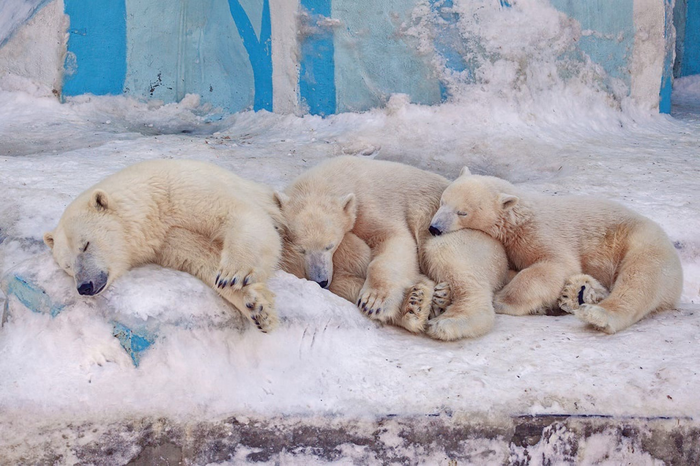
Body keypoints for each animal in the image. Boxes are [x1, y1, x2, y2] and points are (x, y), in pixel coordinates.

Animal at [43, 159, 284, 332]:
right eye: (67, 265)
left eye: (85, 245)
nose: (84, 286)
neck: (152, 204)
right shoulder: (168, 238)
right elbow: (202, 256)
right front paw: (257, 309)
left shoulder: (181, 189)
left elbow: (237, 213)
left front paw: (232, 273)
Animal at [274, 155, 508, 340]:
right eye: (301, 249)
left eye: (329, 246)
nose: (320, 281)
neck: (334, 179)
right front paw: (415, 301)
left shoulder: (371, 204)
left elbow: (394, 238)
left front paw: (374, 301)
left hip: (470, 241)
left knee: (446, 256)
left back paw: (448, 322)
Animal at [432, 169, 684, 334]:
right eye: (443, 201)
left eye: (462, 212)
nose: (434, 228)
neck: (518, 219)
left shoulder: (540, 232)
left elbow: (555, 263)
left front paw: (503, 300)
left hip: (644, 245)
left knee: (639, 279)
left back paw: (597, 314)